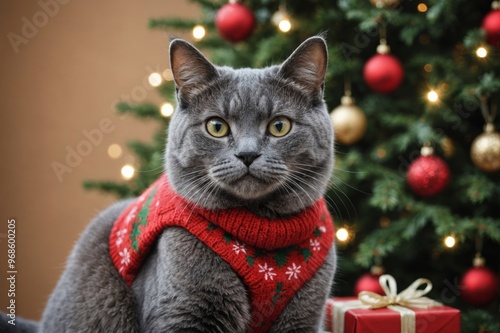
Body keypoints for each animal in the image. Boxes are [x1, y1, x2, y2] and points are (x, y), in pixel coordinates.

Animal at [2, 36, 336, 332]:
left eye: (279, 126)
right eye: (217, 127)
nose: (248, 154)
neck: (262, 232)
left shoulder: (305, 317)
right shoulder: (183, 308)